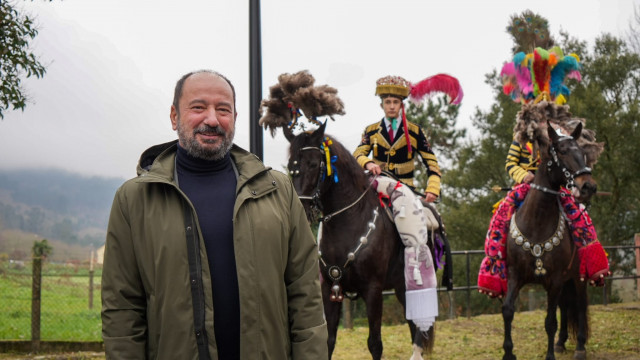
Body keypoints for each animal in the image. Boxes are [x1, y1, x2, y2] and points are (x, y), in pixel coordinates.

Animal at [284, 122, 456, 358]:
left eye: (313, 164)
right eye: (290, 167)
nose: (300, 208)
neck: (349, 221)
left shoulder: (373, 290)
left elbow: (375, 343)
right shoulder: (329, 288)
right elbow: (328, 341)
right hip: (400, 286)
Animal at [502, 121, 596, 360]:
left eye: (583, 152)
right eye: (562, 152)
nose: (588, 187)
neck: (536, 223)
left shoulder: (554, 279)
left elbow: (550, 321)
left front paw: (550, 355)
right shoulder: (515, 275)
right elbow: (507, 311)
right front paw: (508, 352)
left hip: (576, 278)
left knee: (580, 305)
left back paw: (580, 347)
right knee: (566, 305)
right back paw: (561, 343)